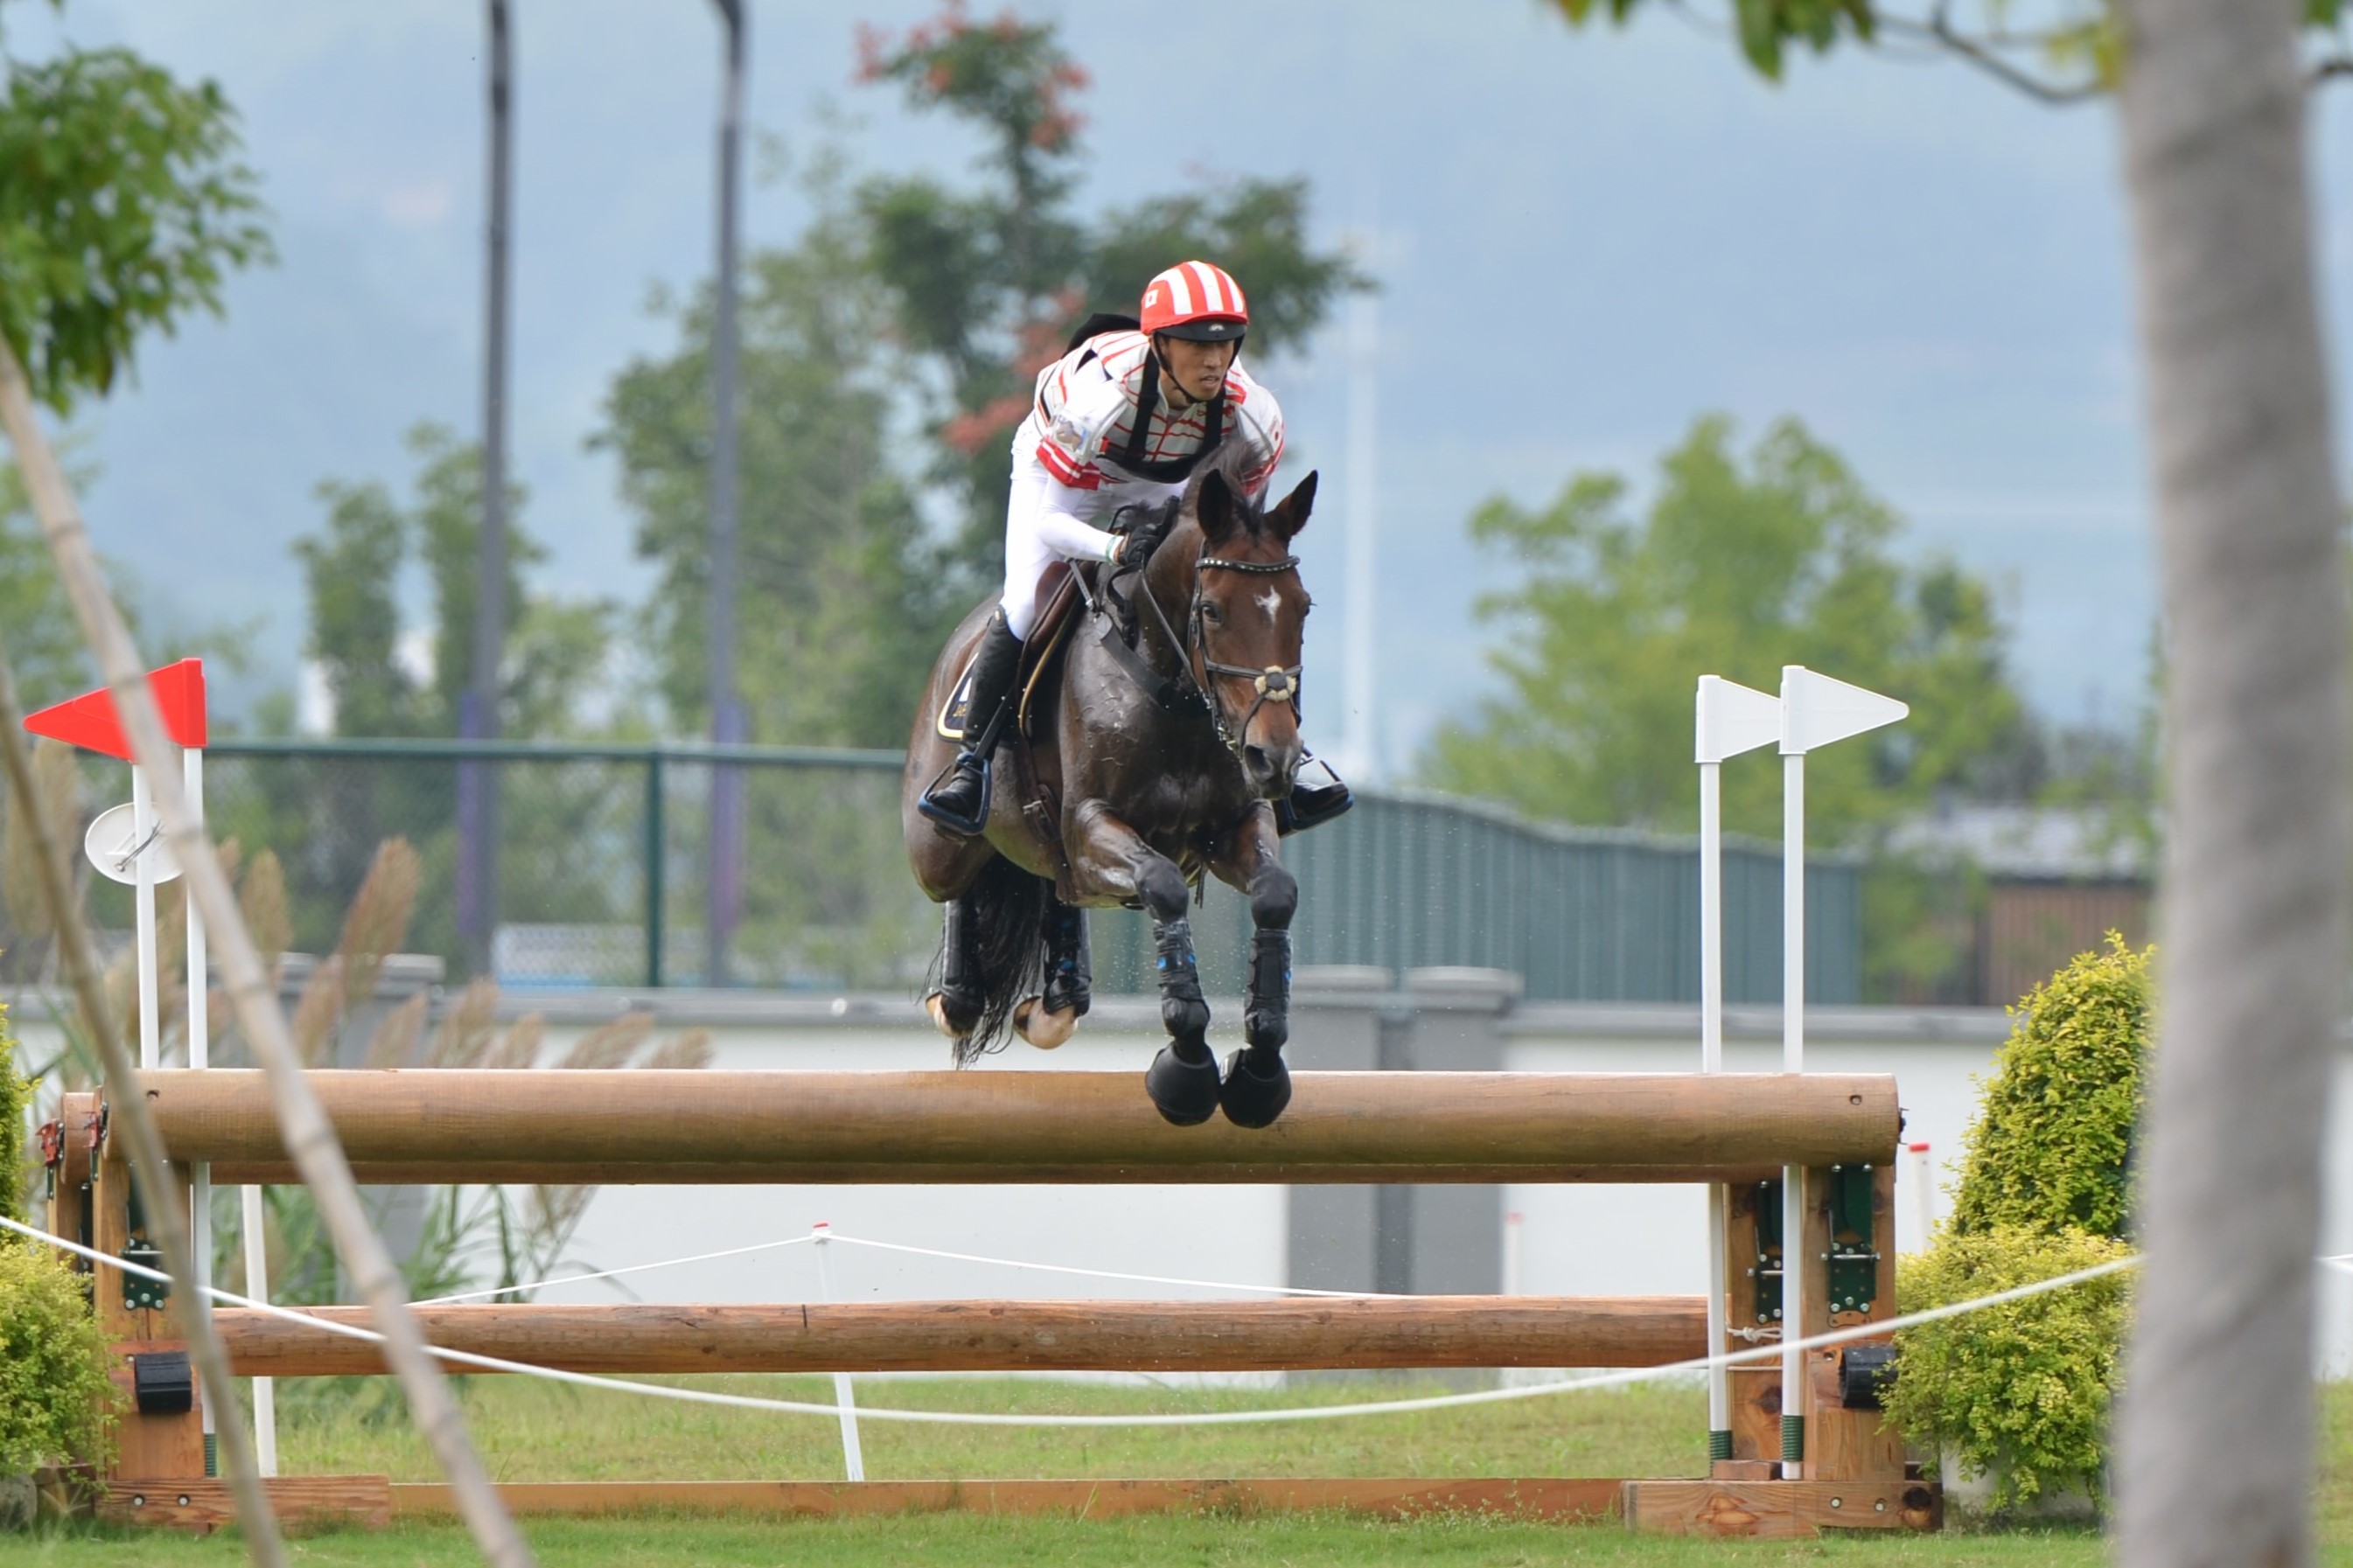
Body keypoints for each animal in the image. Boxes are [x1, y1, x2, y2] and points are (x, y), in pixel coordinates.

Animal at [901, 445, 1318, 1128]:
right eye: (1211, 610)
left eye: (1302, 607)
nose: (1273, 756)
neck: (1173, 693)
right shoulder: (1094, 824)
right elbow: (1163, 886)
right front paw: (1187, 1066)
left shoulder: (1234, 825)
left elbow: (1275, 894)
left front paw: (1259, 1069)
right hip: (936, 845)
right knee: (959, 878)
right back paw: (958, 997)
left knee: (1059, 886)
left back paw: (1059, 999)